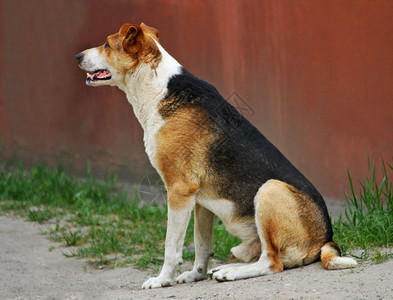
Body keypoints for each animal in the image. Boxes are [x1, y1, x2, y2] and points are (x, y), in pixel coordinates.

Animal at [76, 22, 356, 290]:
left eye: (106, 44)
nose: (77, 56)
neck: (156, 87)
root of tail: (326, 238)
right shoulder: (200, 201)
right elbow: (201, 245)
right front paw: (195, 275)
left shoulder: (179, 191)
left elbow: (171, 247)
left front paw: (162, 280)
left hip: (269, 189)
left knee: (272, 263)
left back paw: (232, 272)